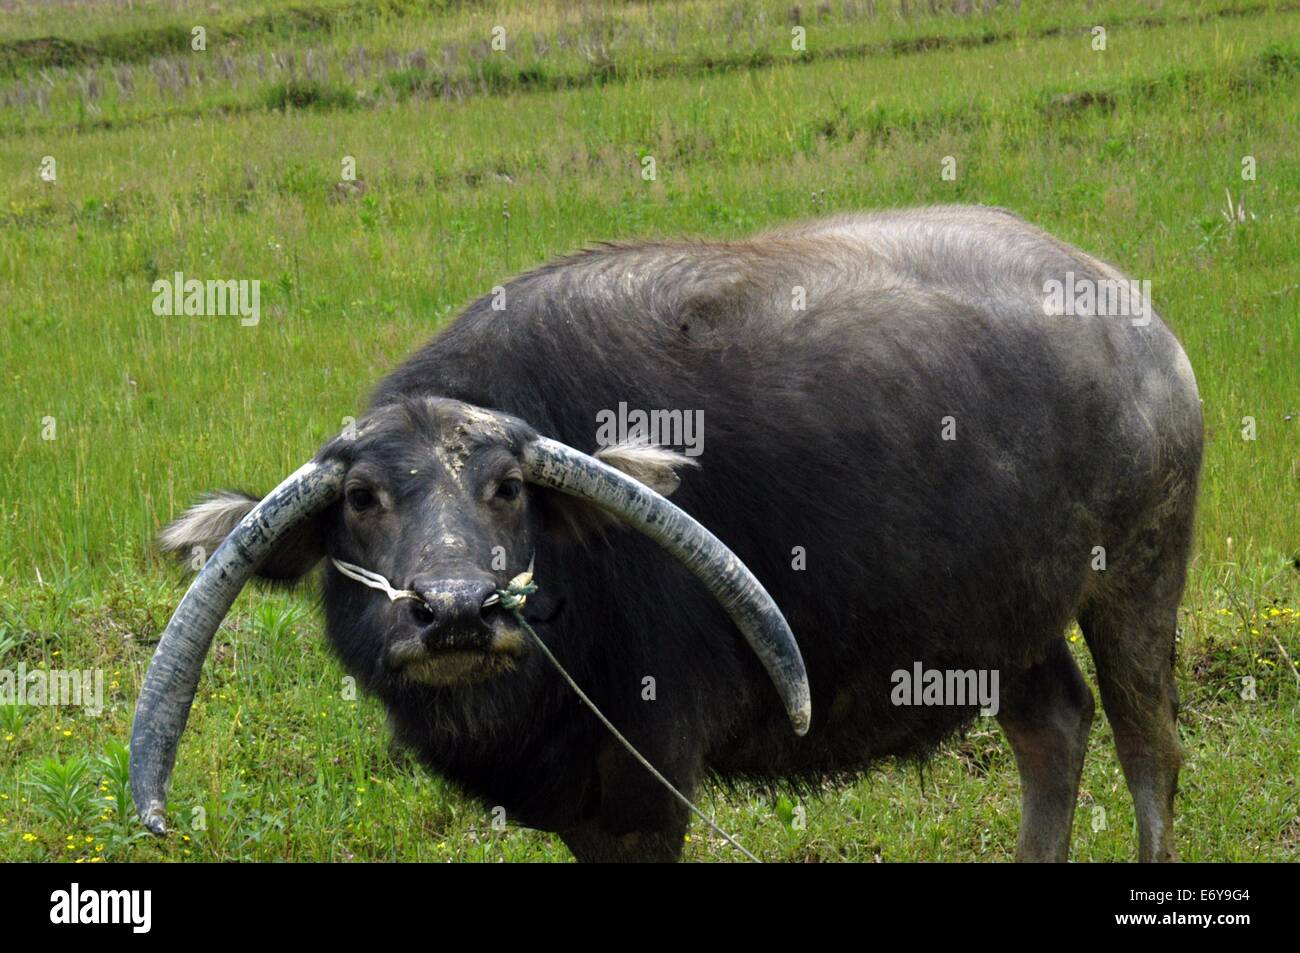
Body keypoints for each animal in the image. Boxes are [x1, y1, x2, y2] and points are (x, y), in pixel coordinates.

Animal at [134, 206, 1203, 861]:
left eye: (509, 489)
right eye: (361, 498)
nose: (457, 613)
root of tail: (1139, 323)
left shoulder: (651, 779)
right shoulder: (579, 803)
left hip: (1139, 579)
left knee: (1149, 749)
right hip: (1006, 613)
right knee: (1052, 723)